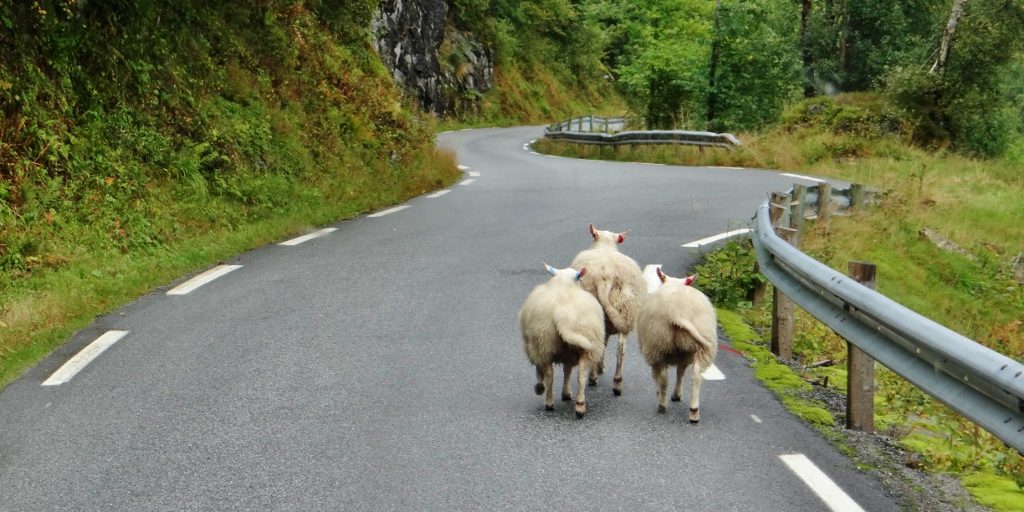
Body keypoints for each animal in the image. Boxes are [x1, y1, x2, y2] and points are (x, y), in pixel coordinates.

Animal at [519, 263, 606, 418]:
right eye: (580, 279)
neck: (564, 284)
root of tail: (563, 315)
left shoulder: (533, 347)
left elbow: (540, 370)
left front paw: (540, 387)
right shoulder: (567, 354)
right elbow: (567, 370)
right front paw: (565, 393)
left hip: (543, 343)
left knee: (549, 374)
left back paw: (548, 401)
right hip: (582, 343)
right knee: (580, 376)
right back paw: (579, 406)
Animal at [570, 223, 646, 396]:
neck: (604, 246)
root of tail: (606, 277)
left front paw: (599, 367)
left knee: (596, 344)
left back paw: (593, 377)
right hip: (625, 307)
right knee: (620, 348)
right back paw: (617, 383)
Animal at [636, 268, 717, 423]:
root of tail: (676, 312)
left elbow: (659, 375)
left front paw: (662, 393)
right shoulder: (684, 355)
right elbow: (681, 372)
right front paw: (677, 395)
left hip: (657, 344)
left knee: (663, 377)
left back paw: (662, 404)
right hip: (701, 344)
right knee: (696, 375)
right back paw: (694, 411)